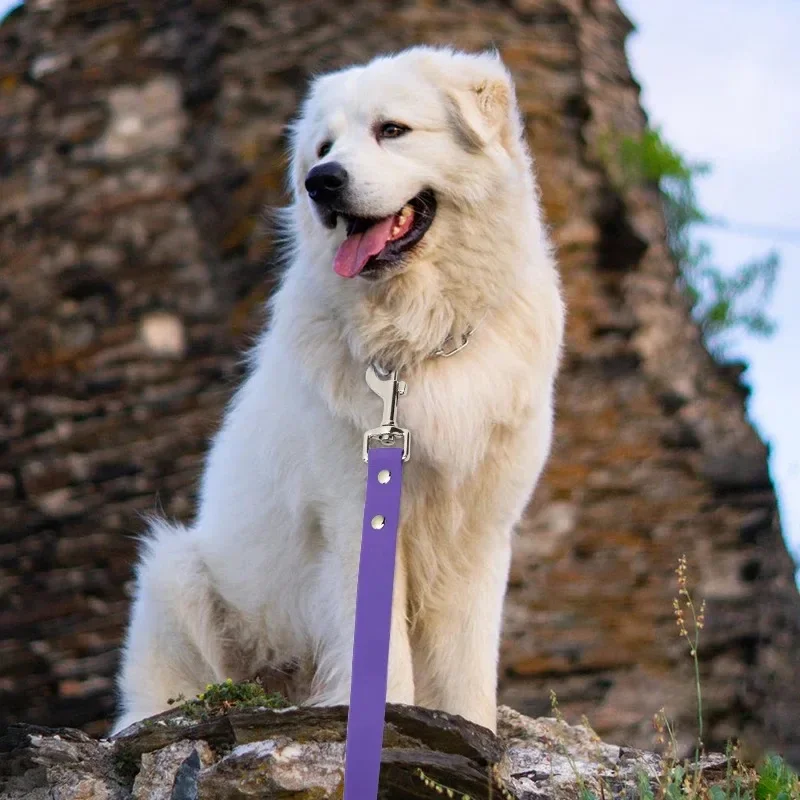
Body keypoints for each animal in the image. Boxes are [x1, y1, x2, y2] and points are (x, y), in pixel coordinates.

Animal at [113, 46, 564, 735]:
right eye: (323, 148)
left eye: (392, 130)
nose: (321, 182)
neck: (419, 342)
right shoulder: (357, 515)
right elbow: (380, 651)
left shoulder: (481, 530)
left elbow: (468, 666)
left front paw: (470, 732)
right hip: (175, 568)